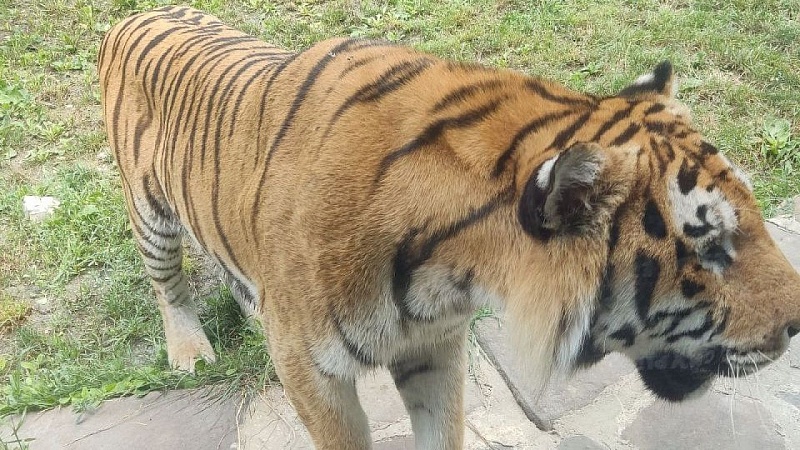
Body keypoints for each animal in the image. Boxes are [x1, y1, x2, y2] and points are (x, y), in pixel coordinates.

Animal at [98, 6, 800, 450]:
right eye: (710, 245)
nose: (797, 325)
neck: (459, 273)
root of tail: (133, 17)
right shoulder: (314, 373)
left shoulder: (434, 346)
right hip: (151, 217)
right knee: (168, 286)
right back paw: (189, 350)